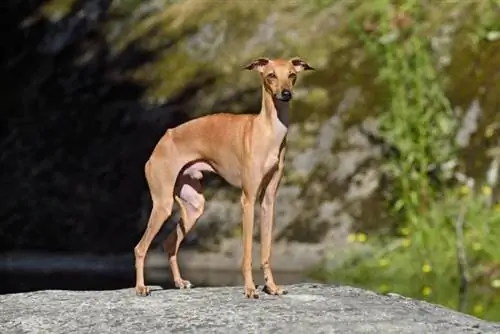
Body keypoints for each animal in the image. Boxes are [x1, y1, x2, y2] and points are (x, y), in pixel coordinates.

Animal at [133, 56, 312, 298]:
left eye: (292, 75)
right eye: (271, 75)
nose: (286, 94)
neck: (266, 131)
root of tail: (163, 140)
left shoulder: (268, 200)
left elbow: (266, 250)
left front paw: (272, 287)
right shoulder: (248, 200)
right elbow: (247, 251)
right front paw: (250, 289)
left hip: (193, 205)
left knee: (170, 243)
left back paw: (179, 282)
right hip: (163, 203)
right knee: (140, 247)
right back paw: (141, 287)